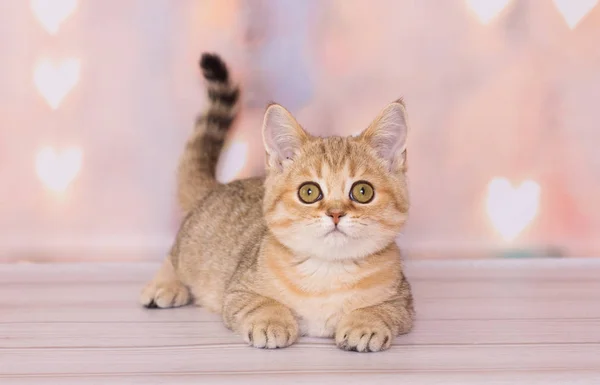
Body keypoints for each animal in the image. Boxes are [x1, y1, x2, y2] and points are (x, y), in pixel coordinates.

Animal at [140, 53, 412, 352]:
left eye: (363, 192)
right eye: (309, 192)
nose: (335, 213)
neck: (327, 272)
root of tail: (220, 186)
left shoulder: (404, 301)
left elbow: (383, 309)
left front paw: (365, 324)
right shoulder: (238, 290)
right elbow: (260, 303)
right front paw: (271, 322)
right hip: (192, 247)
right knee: (173, 256)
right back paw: (165, 285)